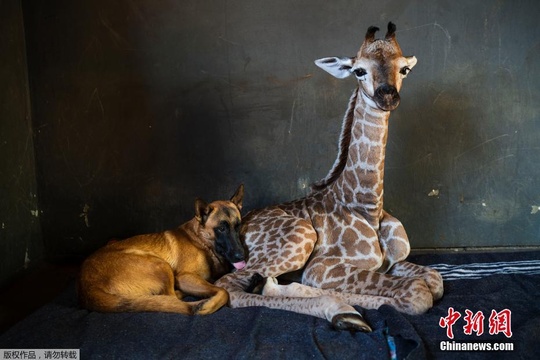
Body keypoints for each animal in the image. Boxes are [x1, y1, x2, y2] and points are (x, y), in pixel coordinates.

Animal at [78, 186, 247, 316]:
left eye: (238, 225)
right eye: (221, 229)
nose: (242, 256)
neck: (202, 241)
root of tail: (87, 288)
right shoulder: (185, 277)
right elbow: (223, 291)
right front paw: (208, 305)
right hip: (161, 265)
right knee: (171, 297)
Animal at [215, 23, 442, 332]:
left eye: (404, 69)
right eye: (358, 70)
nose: (387, 96)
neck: (369, 207)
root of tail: (244, 219)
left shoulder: (393, 262)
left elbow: (435, 280)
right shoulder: (321, 268)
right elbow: (417, 292)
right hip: (298, 238)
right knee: (229, 287)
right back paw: (341, 312)